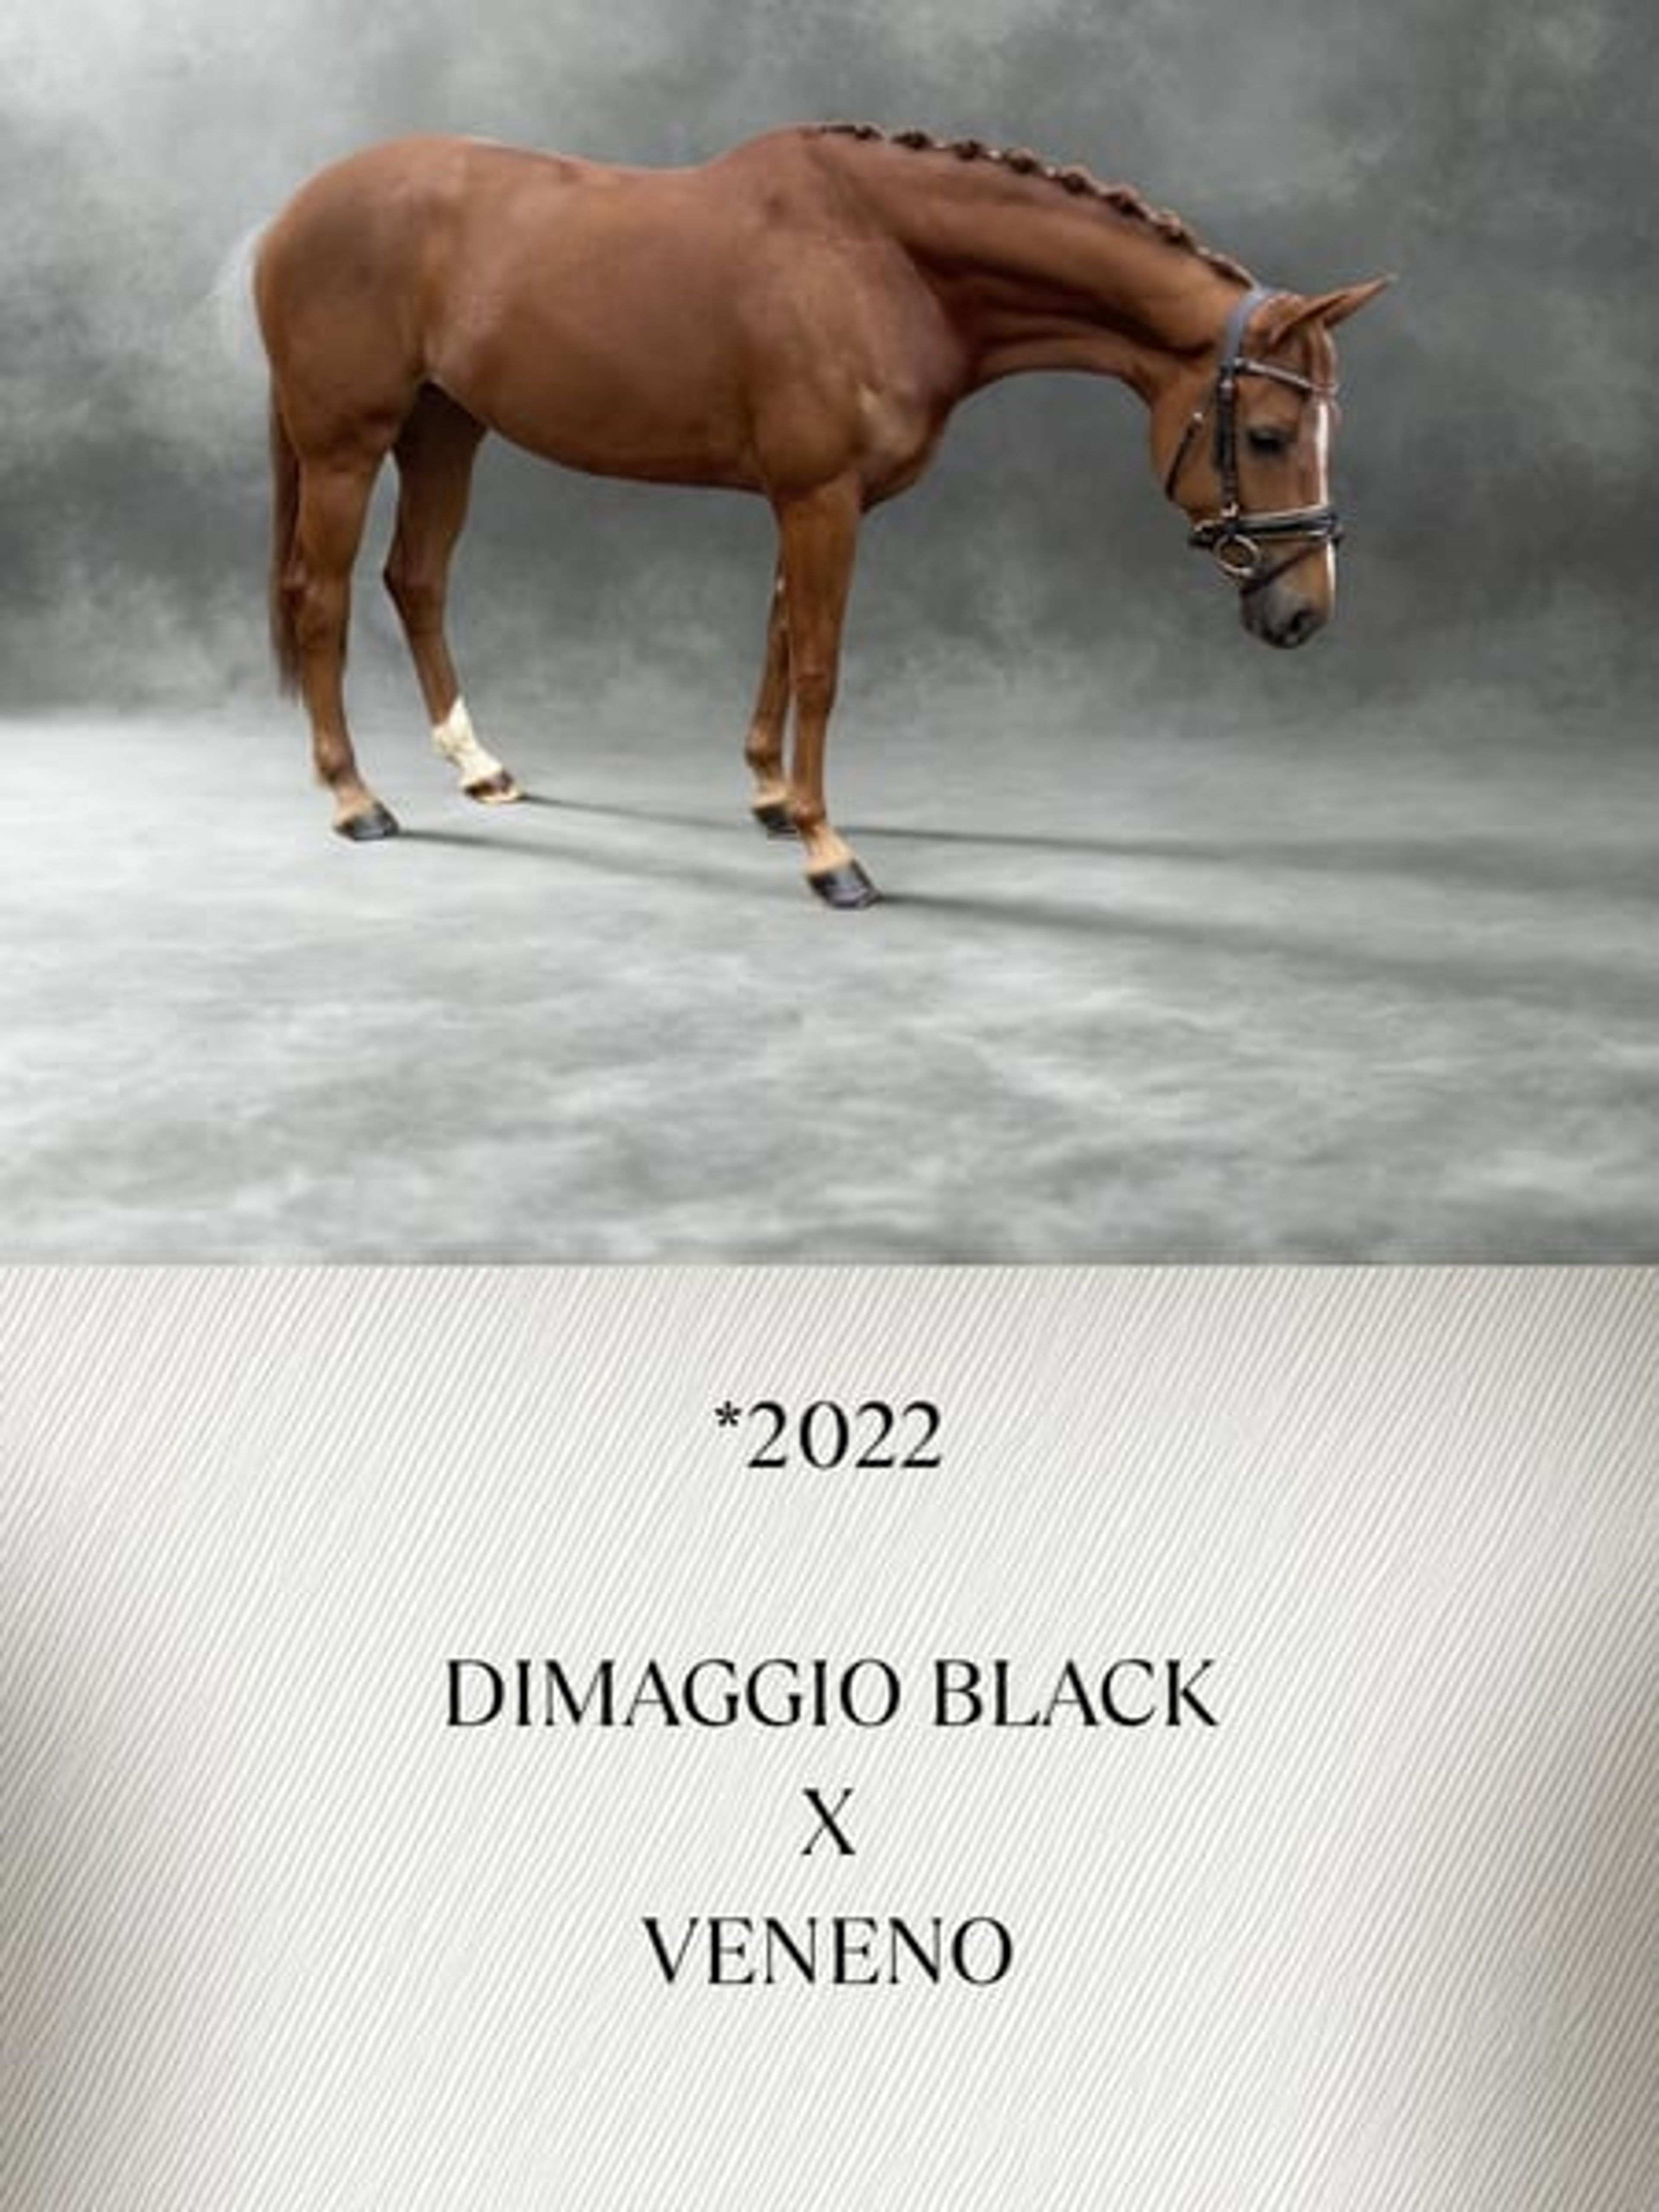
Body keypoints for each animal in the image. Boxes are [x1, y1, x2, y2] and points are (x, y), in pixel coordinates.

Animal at [254, 122, 1388, 906]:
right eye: (1271, 436)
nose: (1305, 613)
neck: (882, 260)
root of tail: (294, 211)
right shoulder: (821, 498)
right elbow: (821, 665)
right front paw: (826, 849)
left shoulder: (812, 501)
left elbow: (780, 634)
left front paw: (767, 798)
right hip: (347, 447)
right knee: (322, 600)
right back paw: (356, 799)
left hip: (446, 430)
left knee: (417, 580)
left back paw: (479, 767)